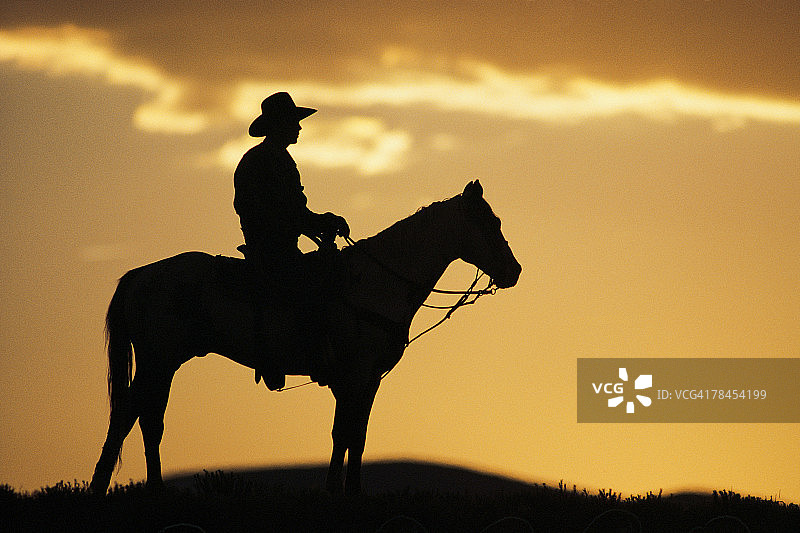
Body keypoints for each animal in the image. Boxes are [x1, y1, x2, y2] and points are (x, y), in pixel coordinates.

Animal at [89, 180, 521, 495]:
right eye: (491, 223)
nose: (514, 271)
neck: (377, 282)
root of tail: (139, 275)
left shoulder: (369, 379)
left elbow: (355, 436)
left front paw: (347, 492)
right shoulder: (354, 374)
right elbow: (344, 433)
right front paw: (337, 492)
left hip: (160, 362)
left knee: (142, 418)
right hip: (158, 360)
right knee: (137, 418)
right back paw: (129, 488)